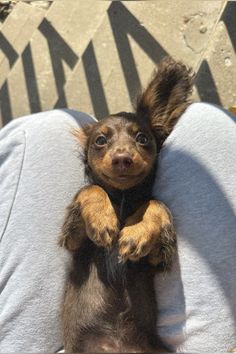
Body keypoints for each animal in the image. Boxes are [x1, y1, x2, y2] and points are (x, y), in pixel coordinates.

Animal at [59, 56, 194, 352]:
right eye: (100, 140)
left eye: (142, 138)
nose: (122, 158)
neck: (121, 200)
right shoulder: (75, 240)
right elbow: (92, 188)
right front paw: (102, 220)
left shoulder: (155, 258)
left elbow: (156, 203)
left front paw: (135, 233)